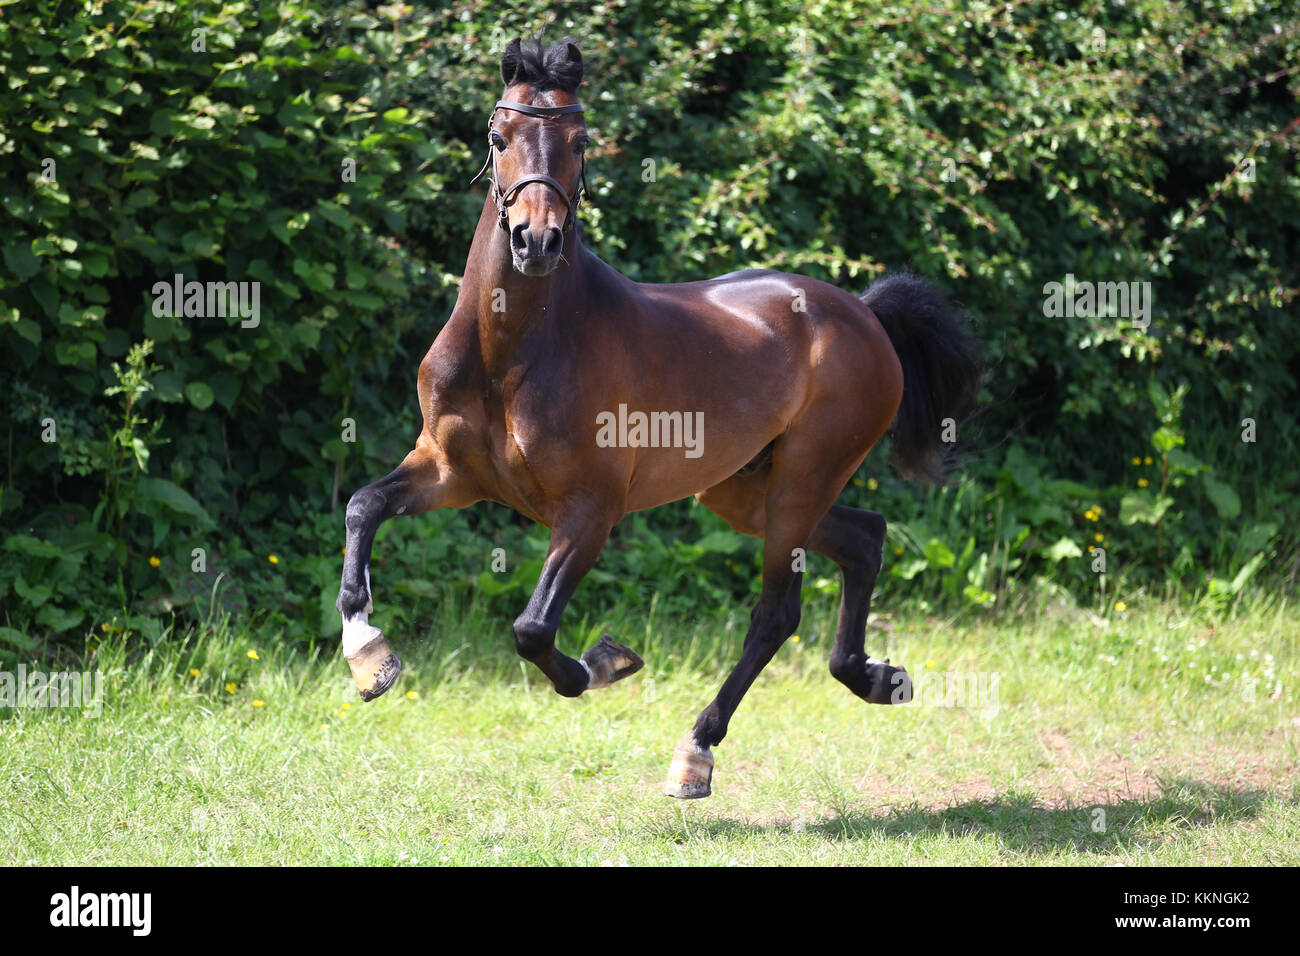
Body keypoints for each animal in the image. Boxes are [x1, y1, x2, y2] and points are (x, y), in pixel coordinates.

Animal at [337, 37, 981, 799]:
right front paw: (369, 656)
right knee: (863, 537)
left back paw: (696, 752)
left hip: (802, 481)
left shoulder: (589, 511)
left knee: (776, 613)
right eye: (499, 138)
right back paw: (874, 677)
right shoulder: (449, 472)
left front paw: (605, 661)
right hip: (743, 491)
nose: (535, 242)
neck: (511, 351)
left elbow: (533, 630)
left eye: (581, 142)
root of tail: (865, 314)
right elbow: (363, 506)